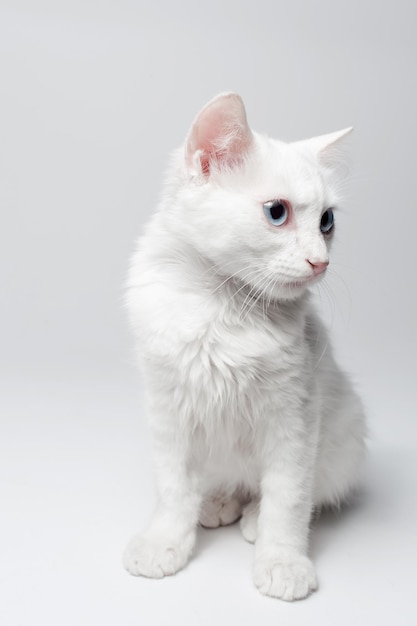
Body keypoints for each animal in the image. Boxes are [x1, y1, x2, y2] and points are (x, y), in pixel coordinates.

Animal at [122, 92, 364, 600]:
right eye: (277, 212)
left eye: (327, 221)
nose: (321, 262)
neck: (224, 307)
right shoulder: (168, 412)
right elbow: (173, 489)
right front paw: (164, 542)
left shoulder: (294, 419)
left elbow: (288, 501)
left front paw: (282, 561)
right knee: (228, 481)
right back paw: (218, 502)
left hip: (343, 444)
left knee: (303, 493)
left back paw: (250, 515)